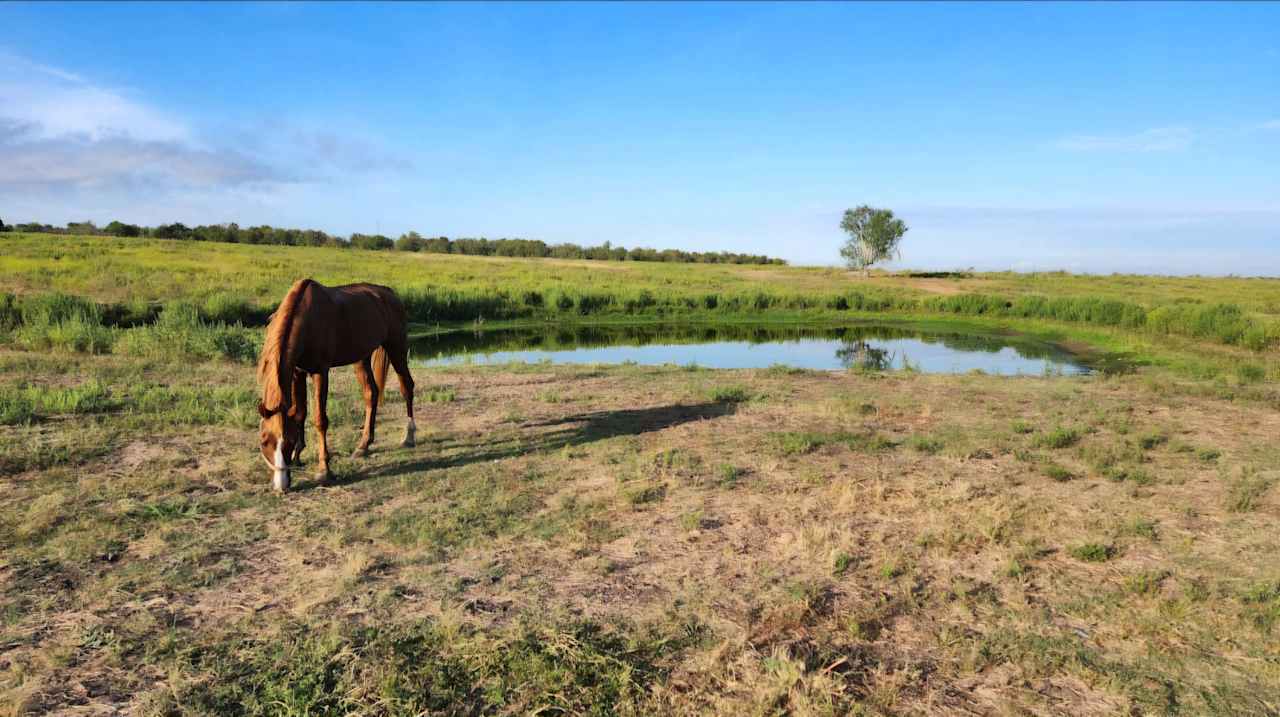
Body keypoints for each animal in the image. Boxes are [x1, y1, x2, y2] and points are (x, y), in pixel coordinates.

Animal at [257, 280, 417, 491]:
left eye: (288, 441)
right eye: (264, 440)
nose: (281, 486)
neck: (306, 319)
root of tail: (389, 294)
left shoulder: (320, 372)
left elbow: (319, 419)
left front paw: (324, 471)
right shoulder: (297, 372)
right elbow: (299, 412)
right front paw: (298, 456)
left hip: (396, 347)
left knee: (406, 386)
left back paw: (409, 436)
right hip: (362, 357)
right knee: (371, 394)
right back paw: (363, 446)